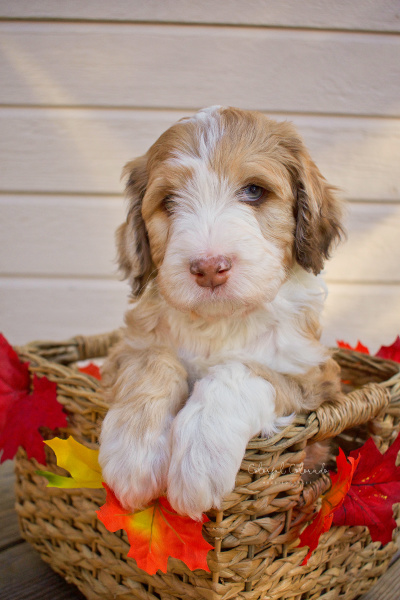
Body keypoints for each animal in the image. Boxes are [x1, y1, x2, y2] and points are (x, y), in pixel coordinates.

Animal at [97, 105, 344, 516]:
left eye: (254, 191)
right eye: (169, 201)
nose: (210, 267)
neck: (220, 321)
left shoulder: (316, 380)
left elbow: (241, 371)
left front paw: (199, 458)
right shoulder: (127, 348)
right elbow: (153, 361)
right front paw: (133, 454)